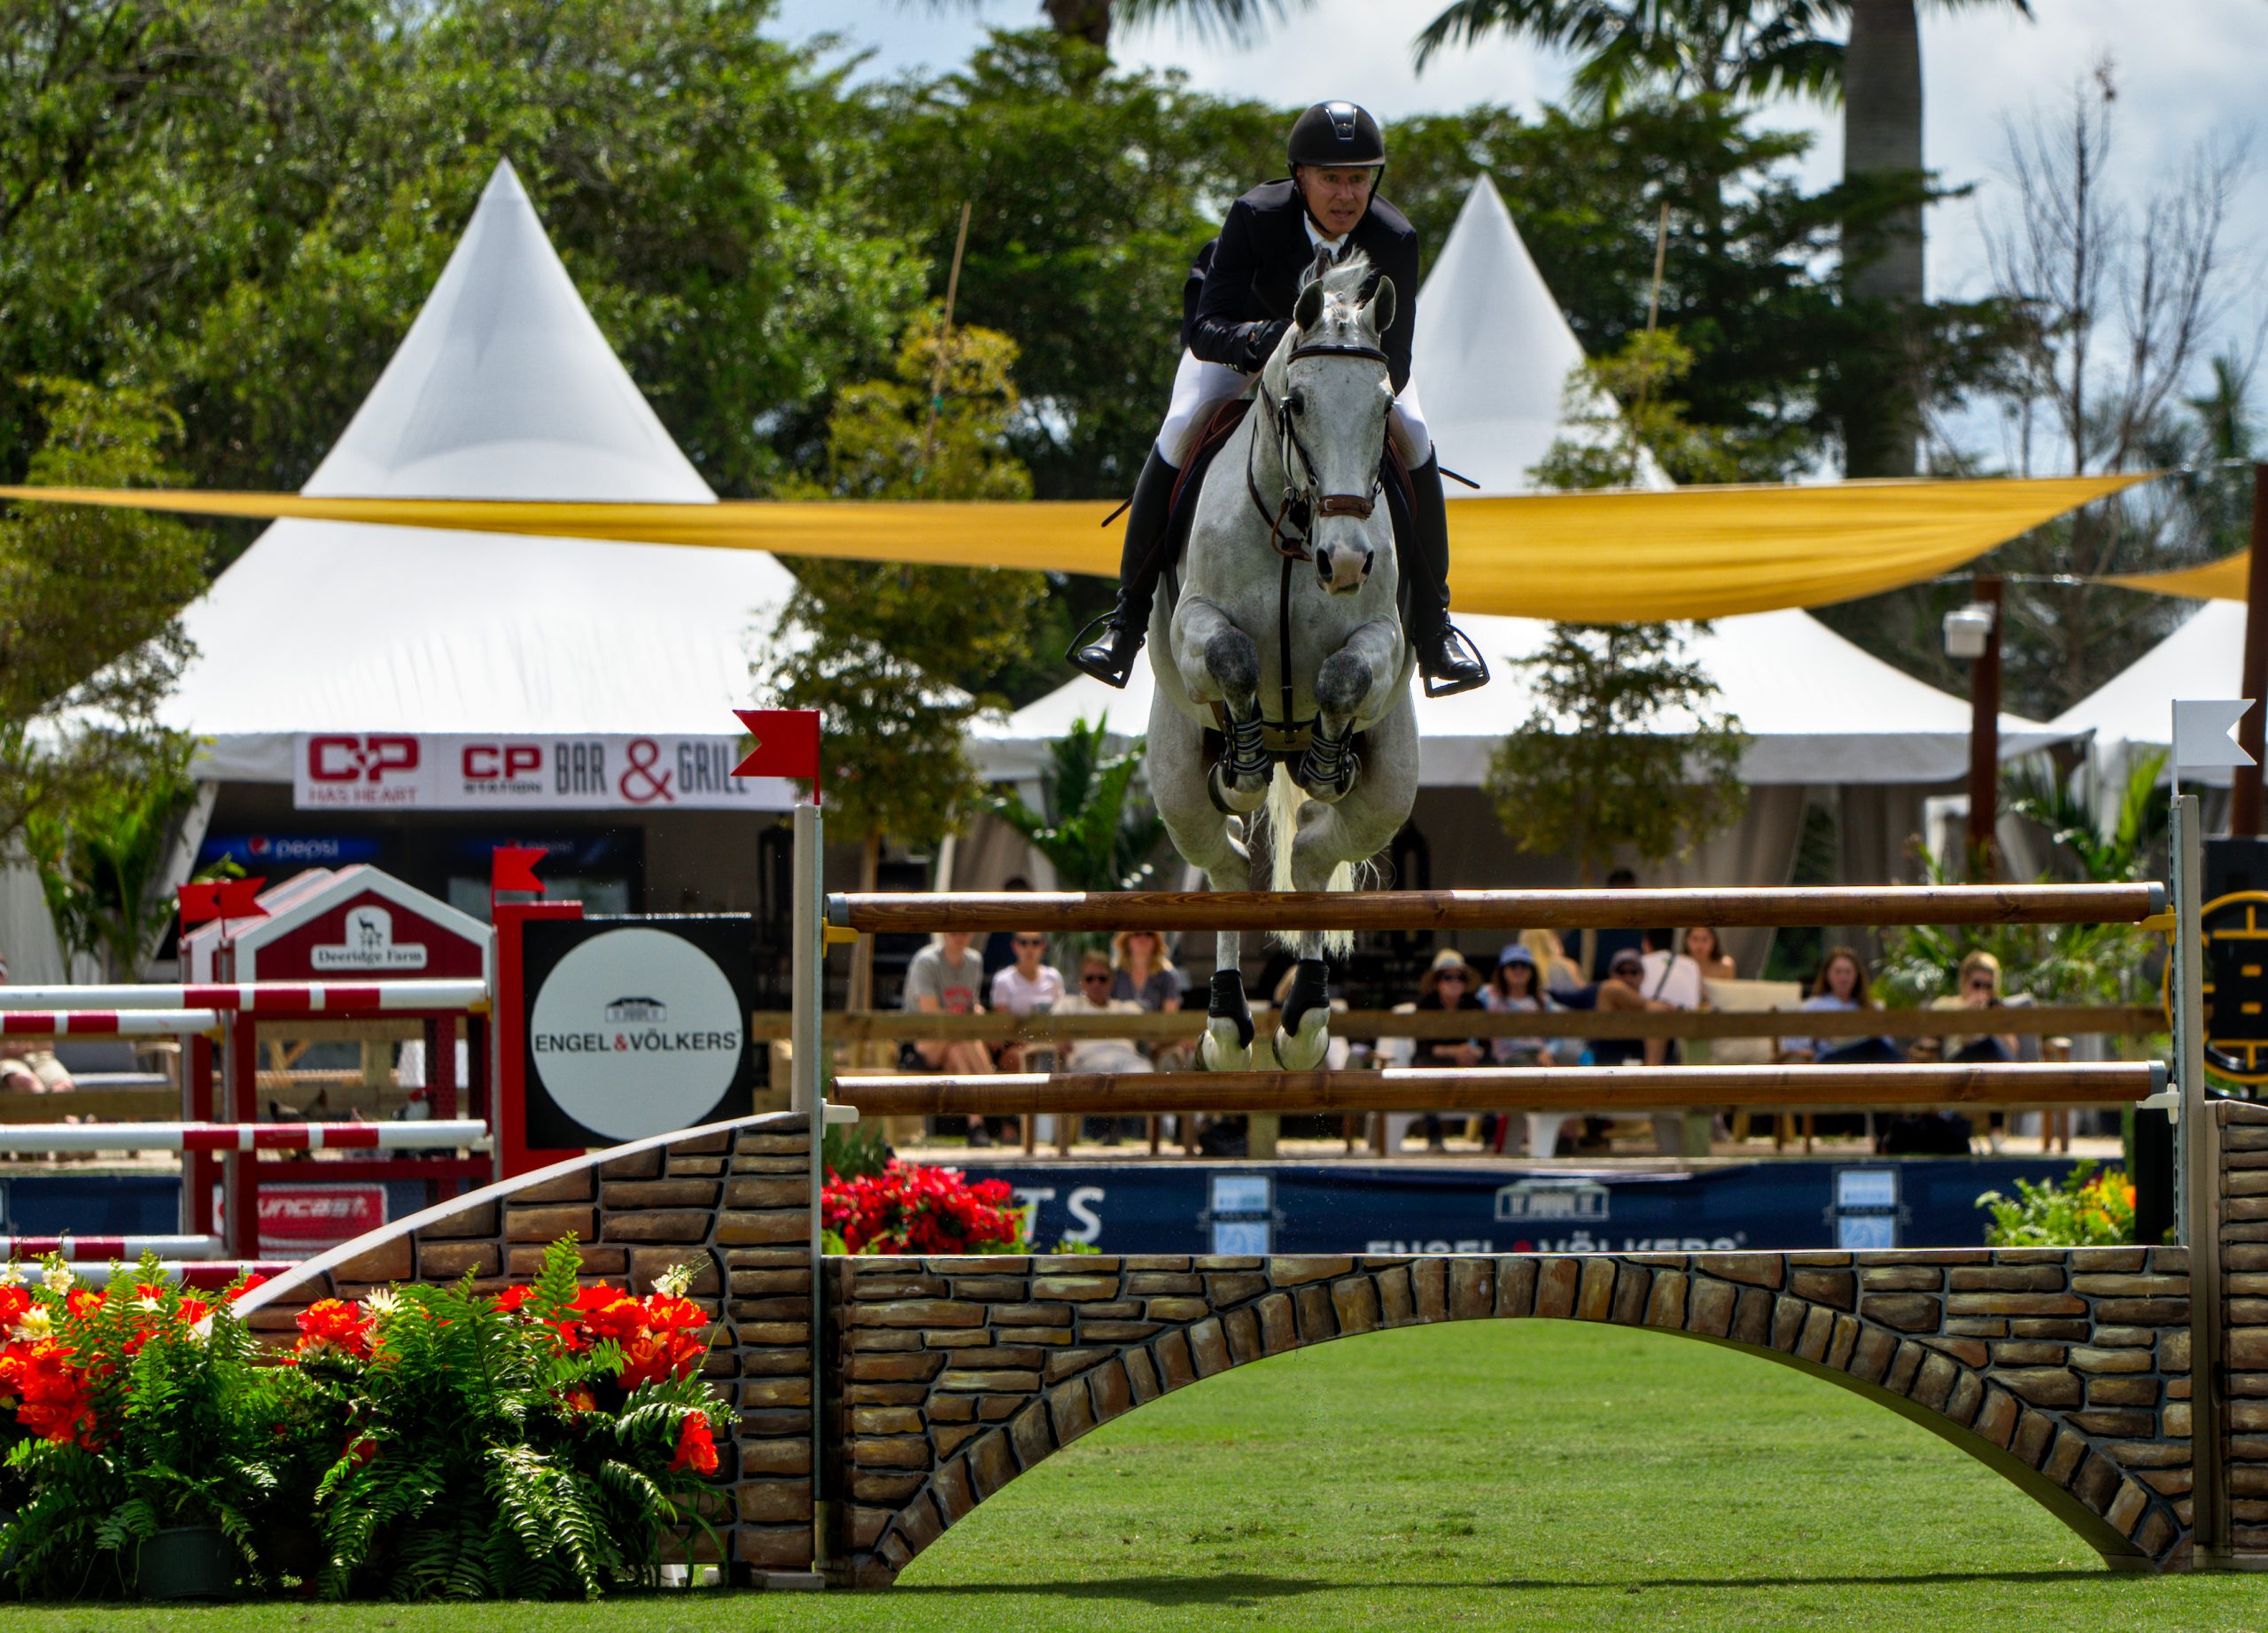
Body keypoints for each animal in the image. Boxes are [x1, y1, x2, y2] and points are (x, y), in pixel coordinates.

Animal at [1152, 252, 1415, 1070]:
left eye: (1384, 408)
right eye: (1297, 404)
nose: (1347, 561)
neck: (1299, 529)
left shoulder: (1382, 640)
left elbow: (1342, 675)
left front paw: (1326, 759)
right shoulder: (1193, 627)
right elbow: (1234, 656)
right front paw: (1243, 763)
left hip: (1391, 785)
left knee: (1312, 857)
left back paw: (1303, 1018)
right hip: (1176, 776)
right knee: (1230, 863)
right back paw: (1227, 1024)